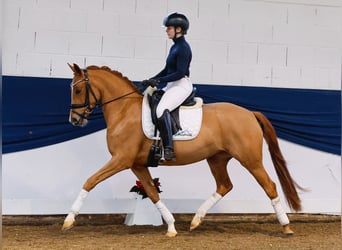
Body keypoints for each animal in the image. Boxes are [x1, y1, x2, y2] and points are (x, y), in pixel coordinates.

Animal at [62, 62, 302, 236]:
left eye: (79, 89)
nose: (75, 120)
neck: (124, 111)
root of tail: (250, 113)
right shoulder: (137, 164)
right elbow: (151, 192)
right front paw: (171, 227)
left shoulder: (121, 160)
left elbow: (90, 181)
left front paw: (69, 220)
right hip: (217, 159)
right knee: (224, 185)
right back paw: (196, 220)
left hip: (250, 159)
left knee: (269, 185)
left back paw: (286, 227)